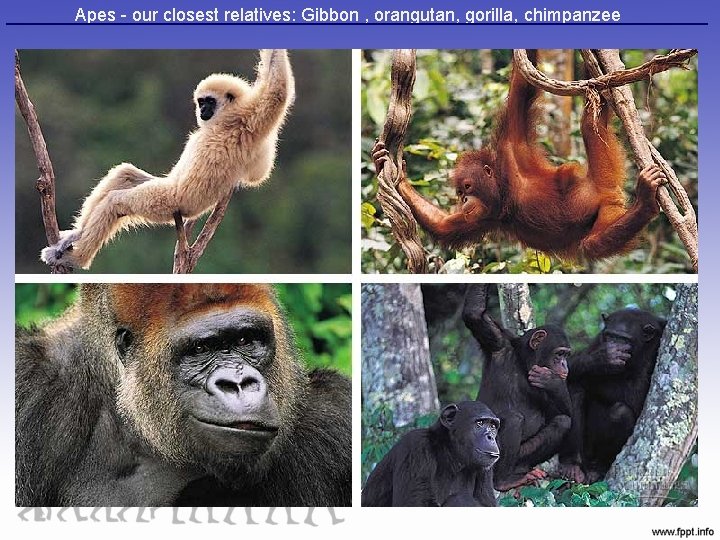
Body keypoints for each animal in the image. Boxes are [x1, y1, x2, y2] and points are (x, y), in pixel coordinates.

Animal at [40, 49, 295, 270]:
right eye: (201, 102)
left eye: (209, 102)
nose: (202, 110)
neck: (224, 123)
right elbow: (259, 172)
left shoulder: (247, 125)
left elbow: (276, 93)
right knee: (125, 173)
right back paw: (74, 236)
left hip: (172, 202)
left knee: (116, 201)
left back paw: (77, 258)